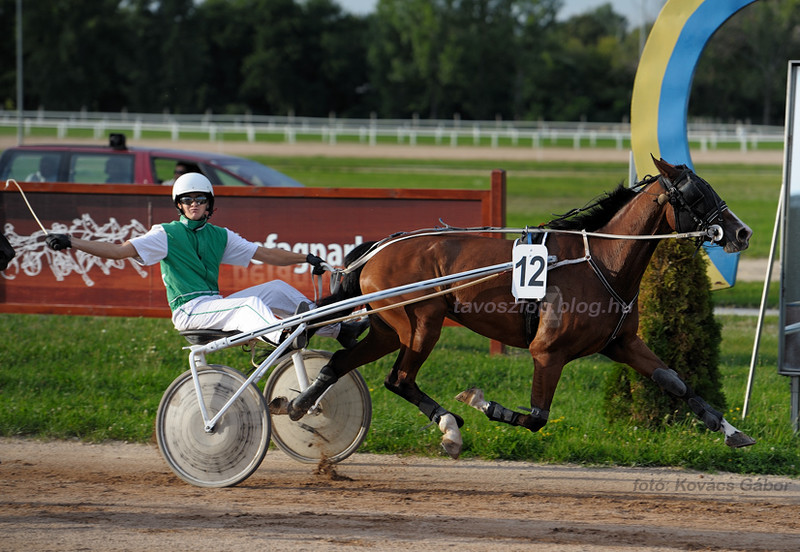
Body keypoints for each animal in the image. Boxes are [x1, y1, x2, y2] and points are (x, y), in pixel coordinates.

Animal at [282, 158, 756, 458]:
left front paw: (733, 432)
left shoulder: (621, 342)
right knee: (399, 378)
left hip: (387, 327)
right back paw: (449, 427)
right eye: (697, 194)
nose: (743, 232)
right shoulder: (548, 351)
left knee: (341, 362)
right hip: (421, 322)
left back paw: (302, 404)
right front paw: (481, 402)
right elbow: (536, 418)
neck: (602, 261)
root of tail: (380, 247)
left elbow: (676, 383)